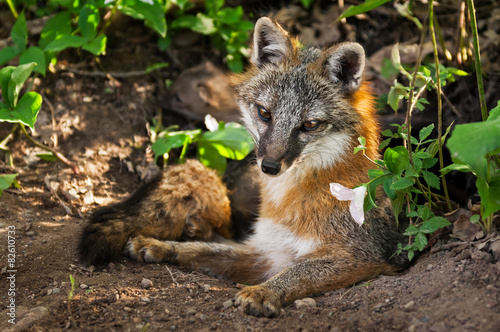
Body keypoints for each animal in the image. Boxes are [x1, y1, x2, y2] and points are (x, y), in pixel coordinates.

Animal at [124, 17, 406, 316]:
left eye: (310, 124)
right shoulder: (268, 253)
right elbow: (204, 251)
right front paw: (162, 246)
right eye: (265, 113)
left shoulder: (360, 255)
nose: (269, 166)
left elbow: (299, 272)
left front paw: (263, 291)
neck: (288, 199)